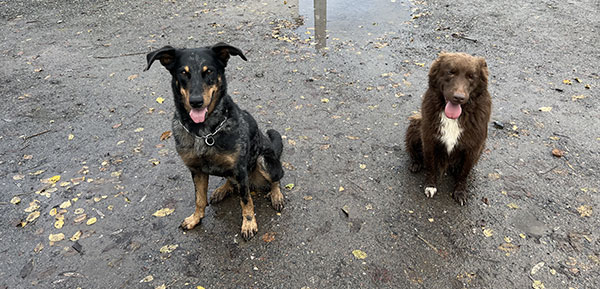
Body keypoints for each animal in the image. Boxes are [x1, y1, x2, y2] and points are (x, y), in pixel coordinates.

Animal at [146, 41, 286, 238]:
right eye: (183, 73)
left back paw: (276, 195)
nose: (196, 101)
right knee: (231, 181)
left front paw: (249, 223)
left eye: (209, 71)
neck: (204, 133)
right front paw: (196, 218)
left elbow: (246, 199)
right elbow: (199, 198)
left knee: (276, 178)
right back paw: (223, 189)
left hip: (263, 160)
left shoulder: (240, 170)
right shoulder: (196, 170)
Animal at [406, 52, 490, 205]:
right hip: (415, 125)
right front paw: (430, 186)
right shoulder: (429, 140)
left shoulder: (473, 147)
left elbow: (464, 173)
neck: (454, 117)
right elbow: (430, 166)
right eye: (451, 72)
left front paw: (460, 192)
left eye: (471, 76)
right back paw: (416, 163)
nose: (459, 97)